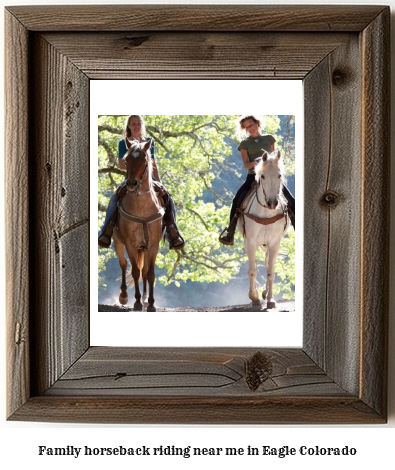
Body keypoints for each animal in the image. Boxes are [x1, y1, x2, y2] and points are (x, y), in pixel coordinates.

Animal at [113, 139, 164, 312]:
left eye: (144, 160)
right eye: (127, 159)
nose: (132, 183)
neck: (142, 209)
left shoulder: (153, 245)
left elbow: (150, 274)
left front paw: (151, 303)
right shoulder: (130, 244)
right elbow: (135, 271)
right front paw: (136, 303)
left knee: (145, 271)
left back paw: (145, 298)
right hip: (118, 242)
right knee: (123, 264)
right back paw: (123, 295)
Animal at [238, 151, 290, 310]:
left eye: (279, 175)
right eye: (262, 176)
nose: (272, 203)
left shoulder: (274, 243)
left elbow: (270, 272)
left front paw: (271, 299)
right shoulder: (250, 241)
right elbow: (252, 270)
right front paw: (254, 297)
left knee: (267, 264)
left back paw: (265, 293)